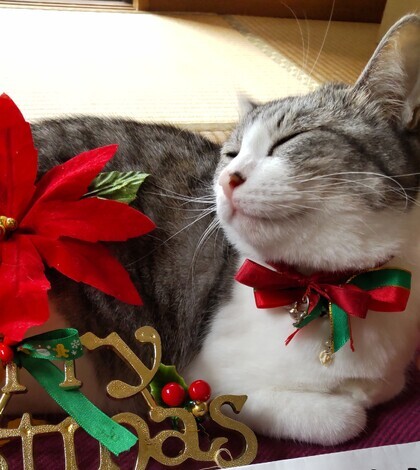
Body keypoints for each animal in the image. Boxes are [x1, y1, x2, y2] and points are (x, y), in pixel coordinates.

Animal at [11, 14, 420, 446]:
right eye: (231, 153)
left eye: (290, 139)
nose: (227, 178)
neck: (335, 291)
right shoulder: (200, 377)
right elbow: (345, 418)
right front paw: (344, 405)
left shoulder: (390, 373)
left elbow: (380, 389)